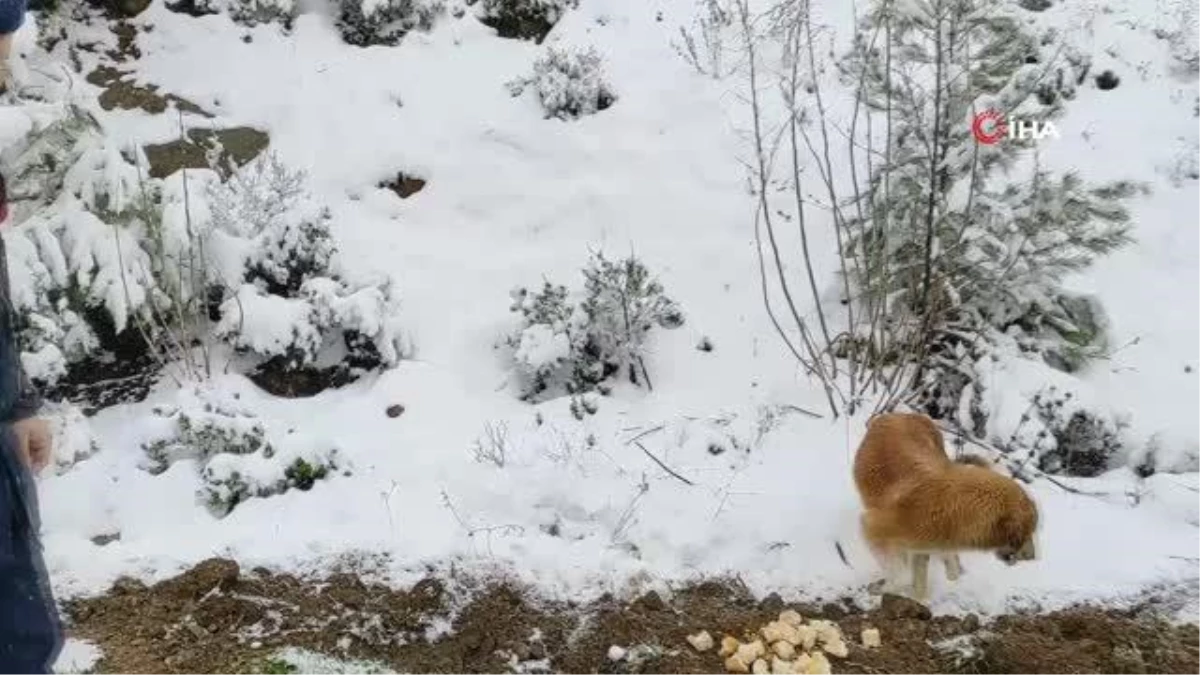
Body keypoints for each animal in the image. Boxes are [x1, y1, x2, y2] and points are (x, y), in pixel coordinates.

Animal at [854, 410, 1041, 598]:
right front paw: (883, 588)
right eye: (1029, 532)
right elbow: (902, 576)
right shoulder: (871, 528)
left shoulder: (923, 549)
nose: (1034, 558)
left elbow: (940, 576)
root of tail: (902, 413)